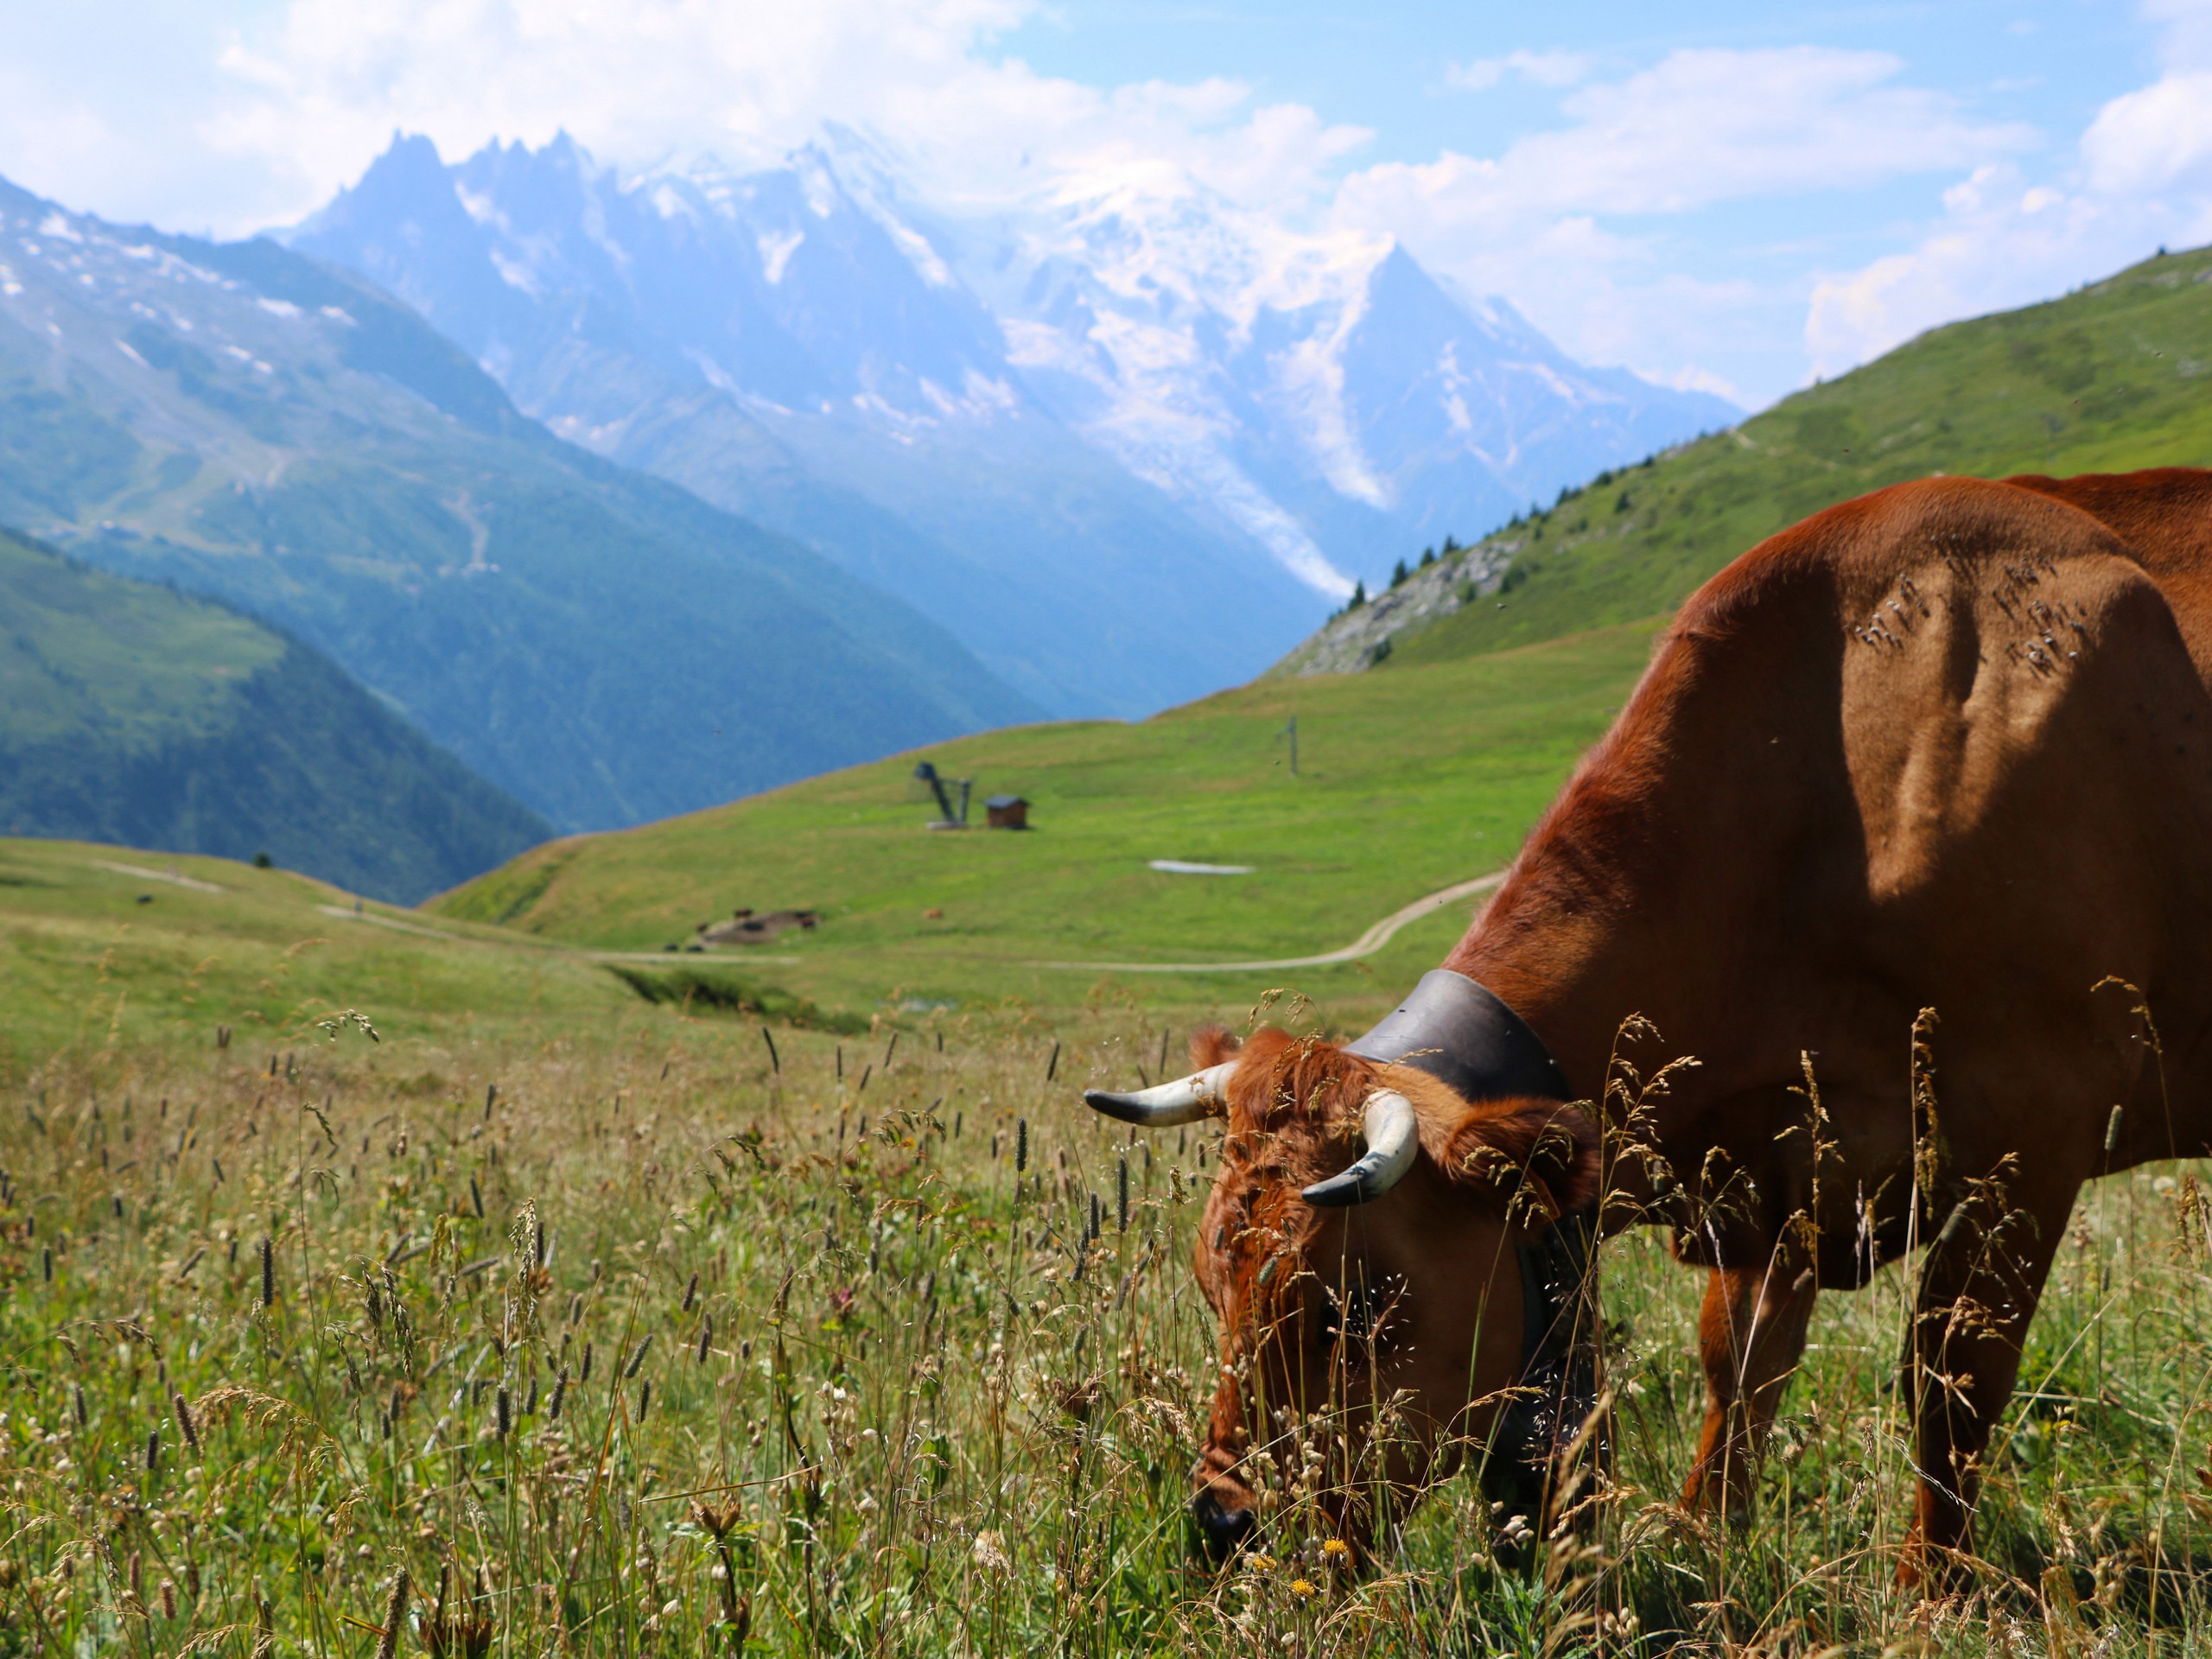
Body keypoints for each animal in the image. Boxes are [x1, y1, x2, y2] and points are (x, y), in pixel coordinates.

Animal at [1092, 471, 2212, 1583]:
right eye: (1208, 1280)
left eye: (1357, 1306)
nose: (1224, 1525)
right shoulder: (1775, 1170)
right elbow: (1740, 1366)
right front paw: (1700, 1541)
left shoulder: (2034, 1137)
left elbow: (1951, 1387)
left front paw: (1930, 1593)